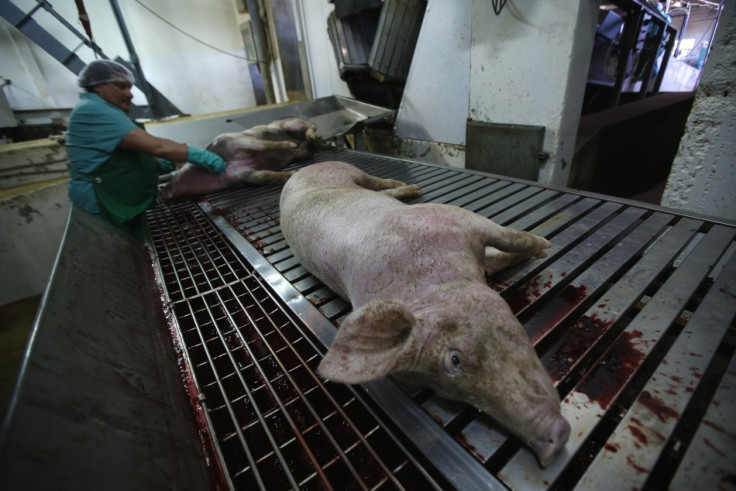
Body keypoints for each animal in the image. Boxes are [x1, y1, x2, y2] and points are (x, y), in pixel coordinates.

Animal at [278, 160, 572, 466]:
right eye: (445, 391)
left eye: (454, 358)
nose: (549, 447)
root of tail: (299, 170)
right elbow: (497, 257)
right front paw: (538, 251)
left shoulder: (450, 217)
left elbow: (510, 238)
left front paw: (543, 247)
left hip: (347, 171)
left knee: (378, 183)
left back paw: (413, 188)